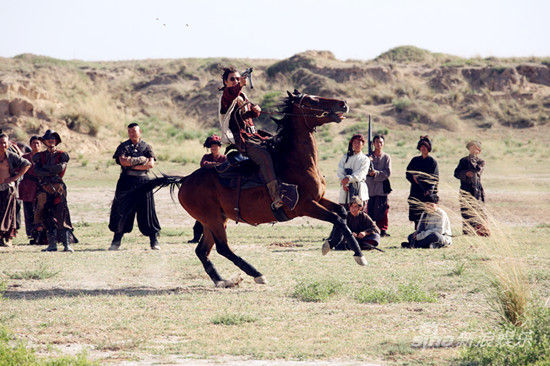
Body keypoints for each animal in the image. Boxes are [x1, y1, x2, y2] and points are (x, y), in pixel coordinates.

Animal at [142, 90, 368, 288]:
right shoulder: (305, 206)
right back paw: (256, 274)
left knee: (202, 251)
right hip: (213, 220)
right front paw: (359, 255)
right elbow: (338, 218)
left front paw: (328, 244)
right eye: (312, 100)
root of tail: (186, 179)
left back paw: (222, 281)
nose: (342, 104)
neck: (296, 162)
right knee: (223, 248)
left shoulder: (319, 199)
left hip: (213, 220)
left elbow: (342, 212)